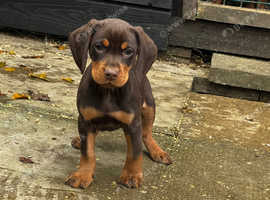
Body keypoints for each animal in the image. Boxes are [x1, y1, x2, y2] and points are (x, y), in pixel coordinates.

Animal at [64, 18, 172, 189]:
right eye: (99, 46)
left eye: (128, 51)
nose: (111, 74)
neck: (109, 92)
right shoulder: (85, 121)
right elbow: (87, 152)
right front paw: (82, 174)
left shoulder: (133, 124)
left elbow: (134, 153)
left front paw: (132, 175)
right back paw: (79, 140)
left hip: (149, 106)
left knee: (146, 134)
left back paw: (157, 151)